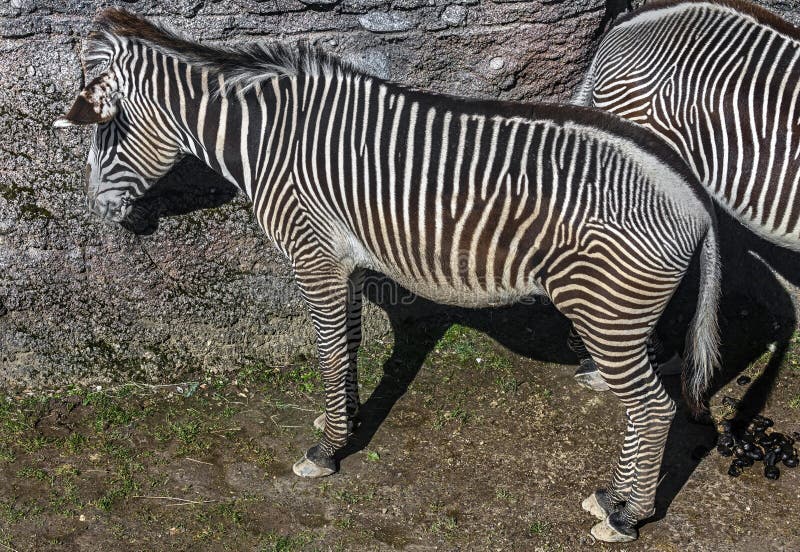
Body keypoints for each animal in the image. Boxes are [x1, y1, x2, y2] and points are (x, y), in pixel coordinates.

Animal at [53, 9, 720, 544]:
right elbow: (344, 345)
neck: (269, 139)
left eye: (107, 129)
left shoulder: (313, 255)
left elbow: (327, 349)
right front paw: (342, 420)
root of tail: (694, 197)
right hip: (625, 314)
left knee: (653, 408)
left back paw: (625, 515)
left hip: (607, 312)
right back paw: (615, 497)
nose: (99, 211)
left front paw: (326, 450)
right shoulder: (343, 263)